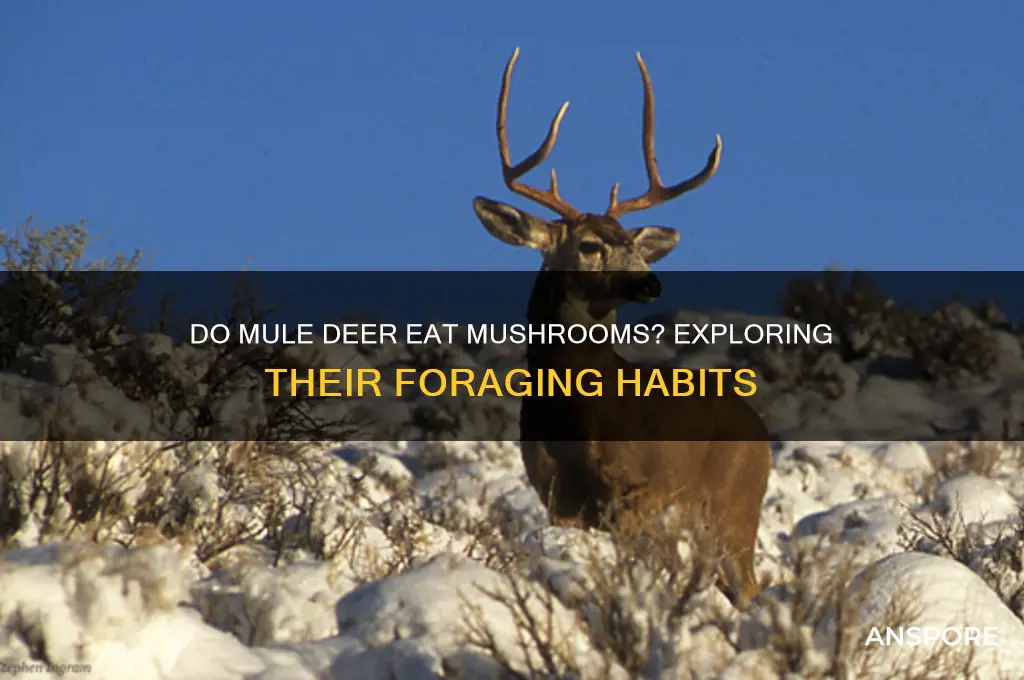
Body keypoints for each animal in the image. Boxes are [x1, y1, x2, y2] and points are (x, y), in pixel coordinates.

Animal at [471, 48, 773, 608]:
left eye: (633, 245)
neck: (578, 420)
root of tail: (759, 431)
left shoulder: (640, 492)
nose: (652, 282)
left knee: (749, 585)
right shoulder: (555, 494)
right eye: (590, 245)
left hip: (735, 509)